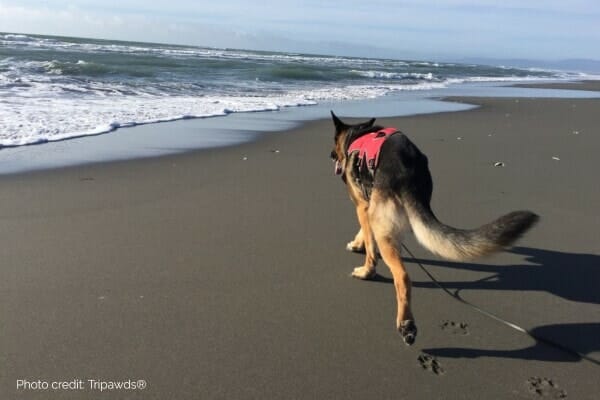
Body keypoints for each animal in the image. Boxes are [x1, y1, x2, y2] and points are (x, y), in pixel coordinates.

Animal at [328, 111, 540, 346]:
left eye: (334, 143)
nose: (331, 155)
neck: (356, 134)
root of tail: (407, 170)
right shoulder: (367, 206)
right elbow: (364, 234)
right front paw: (358, 243)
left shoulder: (362, 207)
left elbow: (369, 242)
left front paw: (364, 259)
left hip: (382, 228)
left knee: (402, 276)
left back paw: (405, 322)